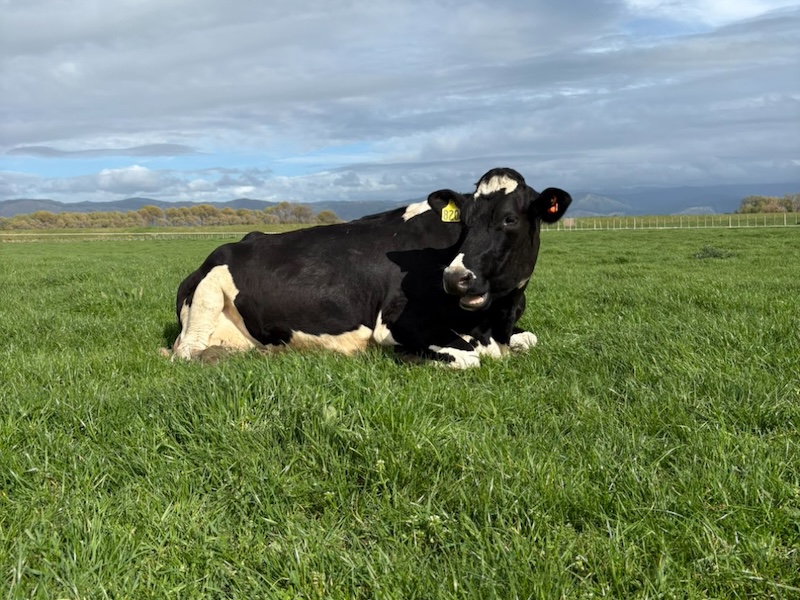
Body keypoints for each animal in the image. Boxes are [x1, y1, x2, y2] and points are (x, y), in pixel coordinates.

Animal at [170, 168, 571, 367]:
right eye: (465, 222)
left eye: (509, 220)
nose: (456, 278)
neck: (491, 325)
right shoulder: (397, 324)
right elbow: (468, 358)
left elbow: (530, 339)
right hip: (208, 293)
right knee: (185, 351)